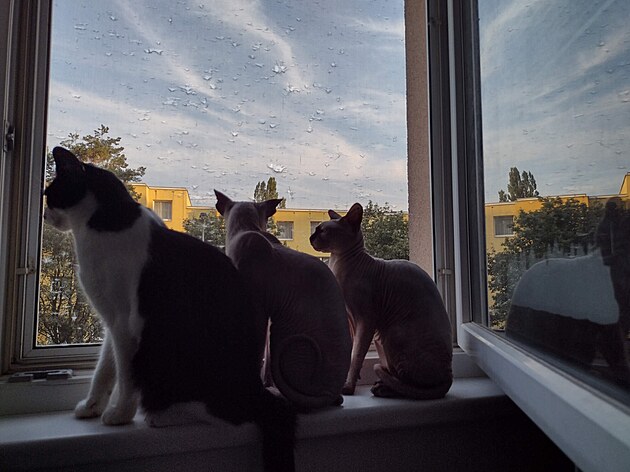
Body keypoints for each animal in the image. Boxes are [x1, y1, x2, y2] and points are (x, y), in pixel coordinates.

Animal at [43, 147, 296, 472]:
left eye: (50, 193)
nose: (44, 213)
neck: (101, 225)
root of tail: (253, 387)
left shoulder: (127, 322)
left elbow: (126, 374)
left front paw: (119, 415)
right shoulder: (111, 319)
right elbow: (104, 369)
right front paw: (91, 407)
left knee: (228, 415)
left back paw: (160, 415)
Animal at [215, 190, 352, 410]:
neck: (246, 229)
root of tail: (329, 394)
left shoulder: (257, 309)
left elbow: (257, 356)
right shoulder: (266, 315)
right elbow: (265, 359)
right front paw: (264, 385)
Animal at [310, 202, 453, 399]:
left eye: (322, 231)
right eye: (316, 230)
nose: (310, 238)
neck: (338, 264)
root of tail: (449, 375)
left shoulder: (366, 320)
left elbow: (356, 355)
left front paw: (348, 387)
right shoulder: (351, 320)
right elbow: (351, 351)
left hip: (391, 333)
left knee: (410, 386)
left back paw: (383, 389)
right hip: (381, 339)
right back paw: (381, 385)